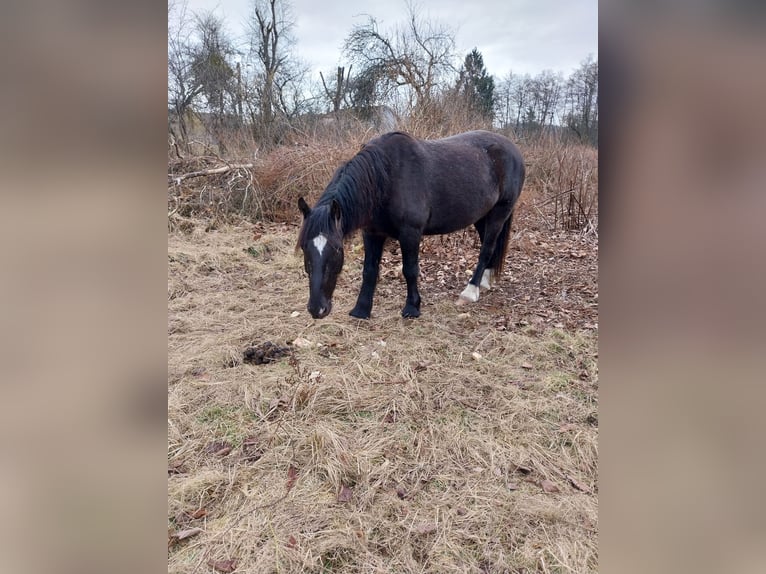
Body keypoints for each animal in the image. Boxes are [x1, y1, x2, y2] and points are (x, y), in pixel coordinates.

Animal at [296, 129, 524, 320]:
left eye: (336, 249)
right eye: (305, 248)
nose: (317, 309)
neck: (387, 177)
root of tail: (512, 149)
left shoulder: (410, 233)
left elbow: (410, 269)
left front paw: (412, 308)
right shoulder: (371, 233)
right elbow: (369, 270)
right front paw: (361, 310)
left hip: (499, 212)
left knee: (487, 248)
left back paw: (471, 290)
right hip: (482, 216)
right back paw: (486, 281)